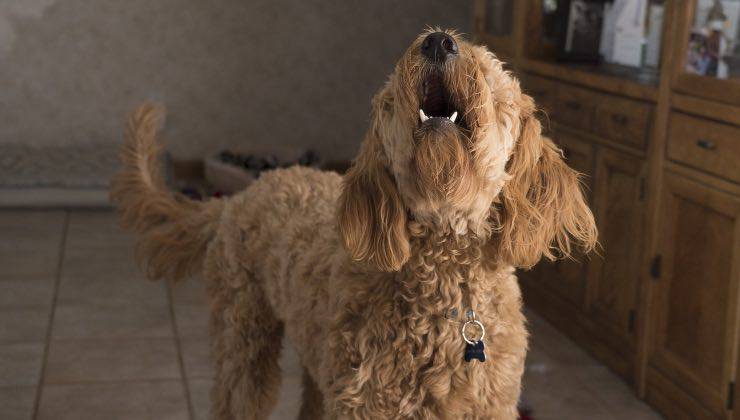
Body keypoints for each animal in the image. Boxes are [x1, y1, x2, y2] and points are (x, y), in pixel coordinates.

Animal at [111, 28, 596, 420]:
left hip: (316, 359)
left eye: (489, 70)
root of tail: (241, 196)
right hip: (243, 340)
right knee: (237, 396)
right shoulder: (365, 403)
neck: (445, 281)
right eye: (392, 94)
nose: (438, 41)